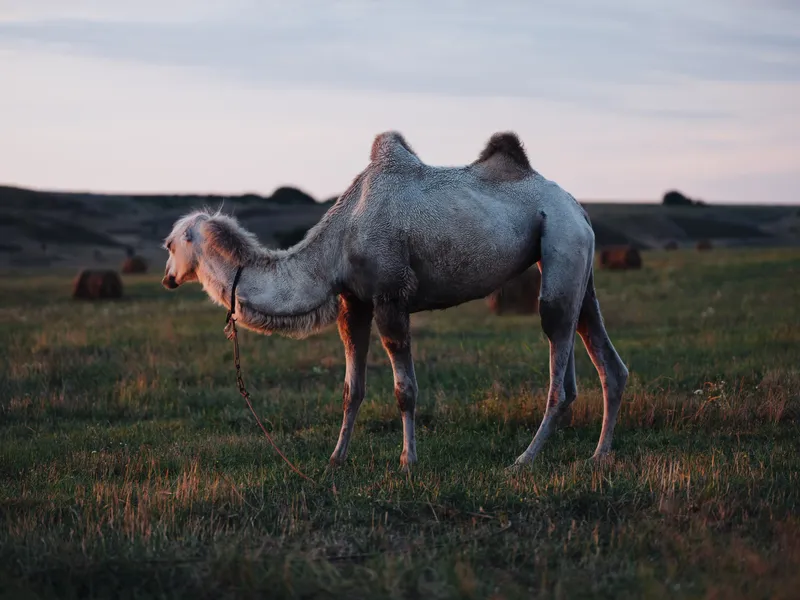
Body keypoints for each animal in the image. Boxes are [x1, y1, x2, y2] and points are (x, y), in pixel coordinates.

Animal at [161, 131, 629, 470]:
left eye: (169, 244)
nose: (166, 278)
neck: (335, 245)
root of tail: (578, 207)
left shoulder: (390, 297)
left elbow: (405, 390)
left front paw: (407, 461)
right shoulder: (353, 304)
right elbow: (351, 388)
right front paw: (336, 458)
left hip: (561, 246)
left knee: (559, 372)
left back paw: (524, 460)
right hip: (576, 266)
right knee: (608, 362)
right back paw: (599, 455)